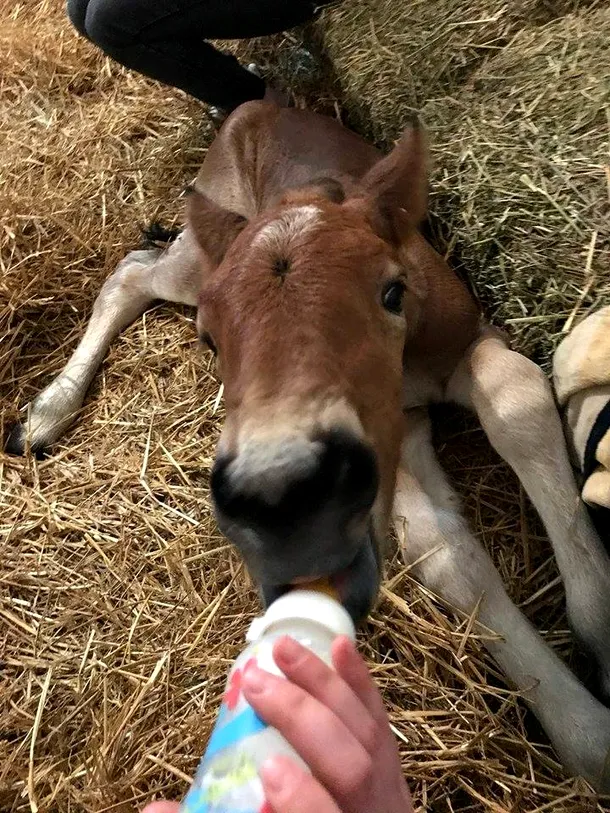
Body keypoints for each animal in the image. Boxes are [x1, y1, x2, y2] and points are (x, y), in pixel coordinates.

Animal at [7, 101, 608, 792]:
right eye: (211, 340)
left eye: (393, 291)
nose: (287, 487)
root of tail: (253, 106)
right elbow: (441, 548)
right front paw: (587, 731)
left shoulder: (453, 353)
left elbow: (516, 399)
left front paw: (602, 634)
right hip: (200, 261)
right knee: (131, 275)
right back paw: (47, 412)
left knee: (134, 267)